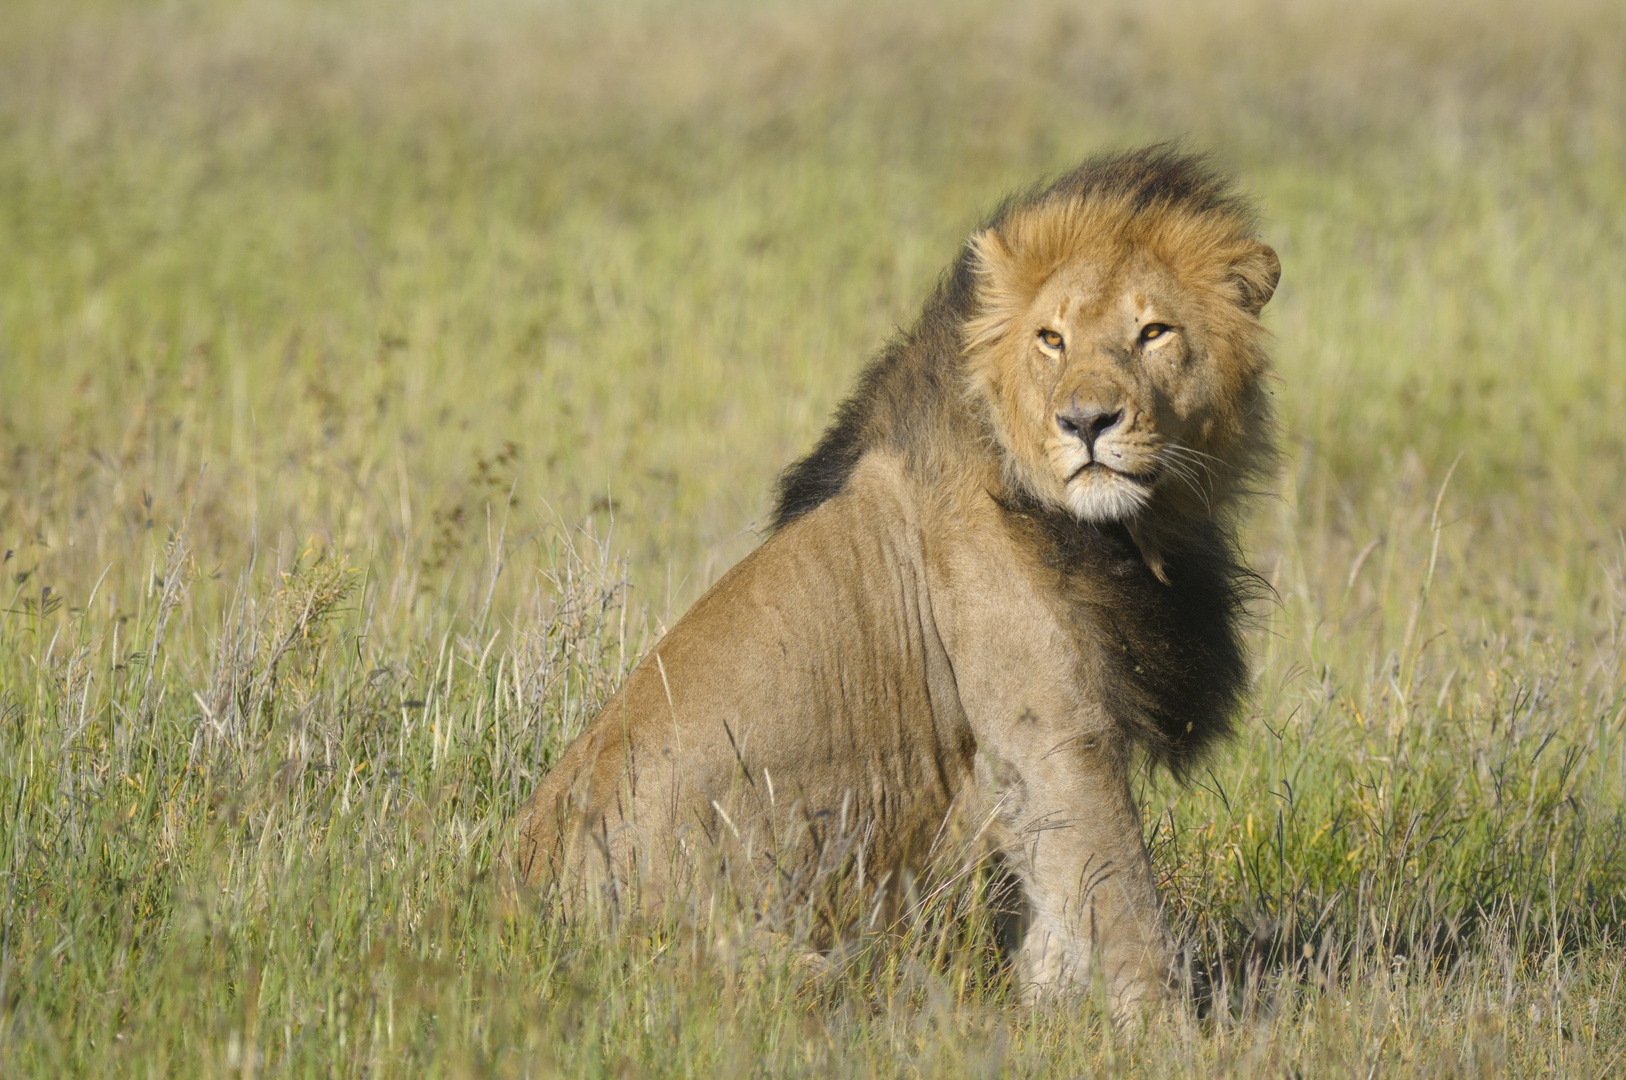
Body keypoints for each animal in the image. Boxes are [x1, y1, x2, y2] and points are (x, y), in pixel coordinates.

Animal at [513, 143, 1274, 1014]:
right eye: (1051, 339)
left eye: (1153, 332)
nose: (1086, 422)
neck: (1125, 528)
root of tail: (517, 906)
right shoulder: (1056, 733)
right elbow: (1123, 902)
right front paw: (1164, 1026)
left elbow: (1052, 907)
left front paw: (1047, 1012)